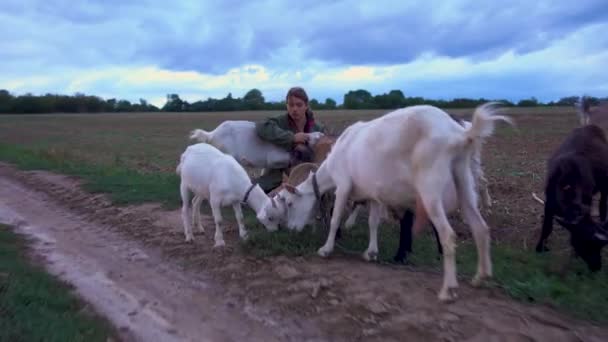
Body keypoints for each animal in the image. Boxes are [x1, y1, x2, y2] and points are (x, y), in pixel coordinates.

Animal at [274, 103, 512, 300]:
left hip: (430, 186)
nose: (292, 229)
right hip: (463, 178)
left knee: (448, 234)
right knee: (480, 228)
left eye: (290, 203)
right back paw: (480, 277)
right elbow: (373, 223)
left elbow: (335, 220)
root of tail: (459, 133)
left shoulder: (343, 185)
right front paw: (371, 253)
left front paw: (326, 249)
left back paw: (448, 289)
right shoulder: (373, 193)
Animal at [532, 124, 608, 272]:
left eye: (599, 247)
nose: (596, 267)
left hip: (606, 186)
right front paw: (540, 247)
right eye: (585, 242)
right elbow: (547, 226)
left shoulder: (587, 198)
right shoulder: (549, 203)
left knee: (603, 205)